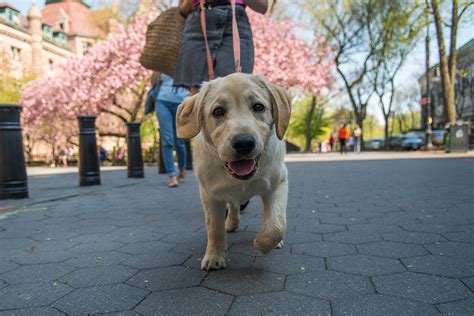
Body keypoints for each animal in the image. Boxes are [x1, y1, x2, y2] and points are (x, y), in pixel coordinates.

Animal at [176, 73, 290, 270]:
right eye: (218, 111)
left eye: (258, 107)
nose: (244, 143)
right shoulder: (209, 194)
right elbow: (214, 228)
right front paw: (214, 256)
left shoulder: (279, 182)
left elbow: (276, 226)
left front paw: (262, 243)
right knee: (233, 205)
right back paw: (231, 223)